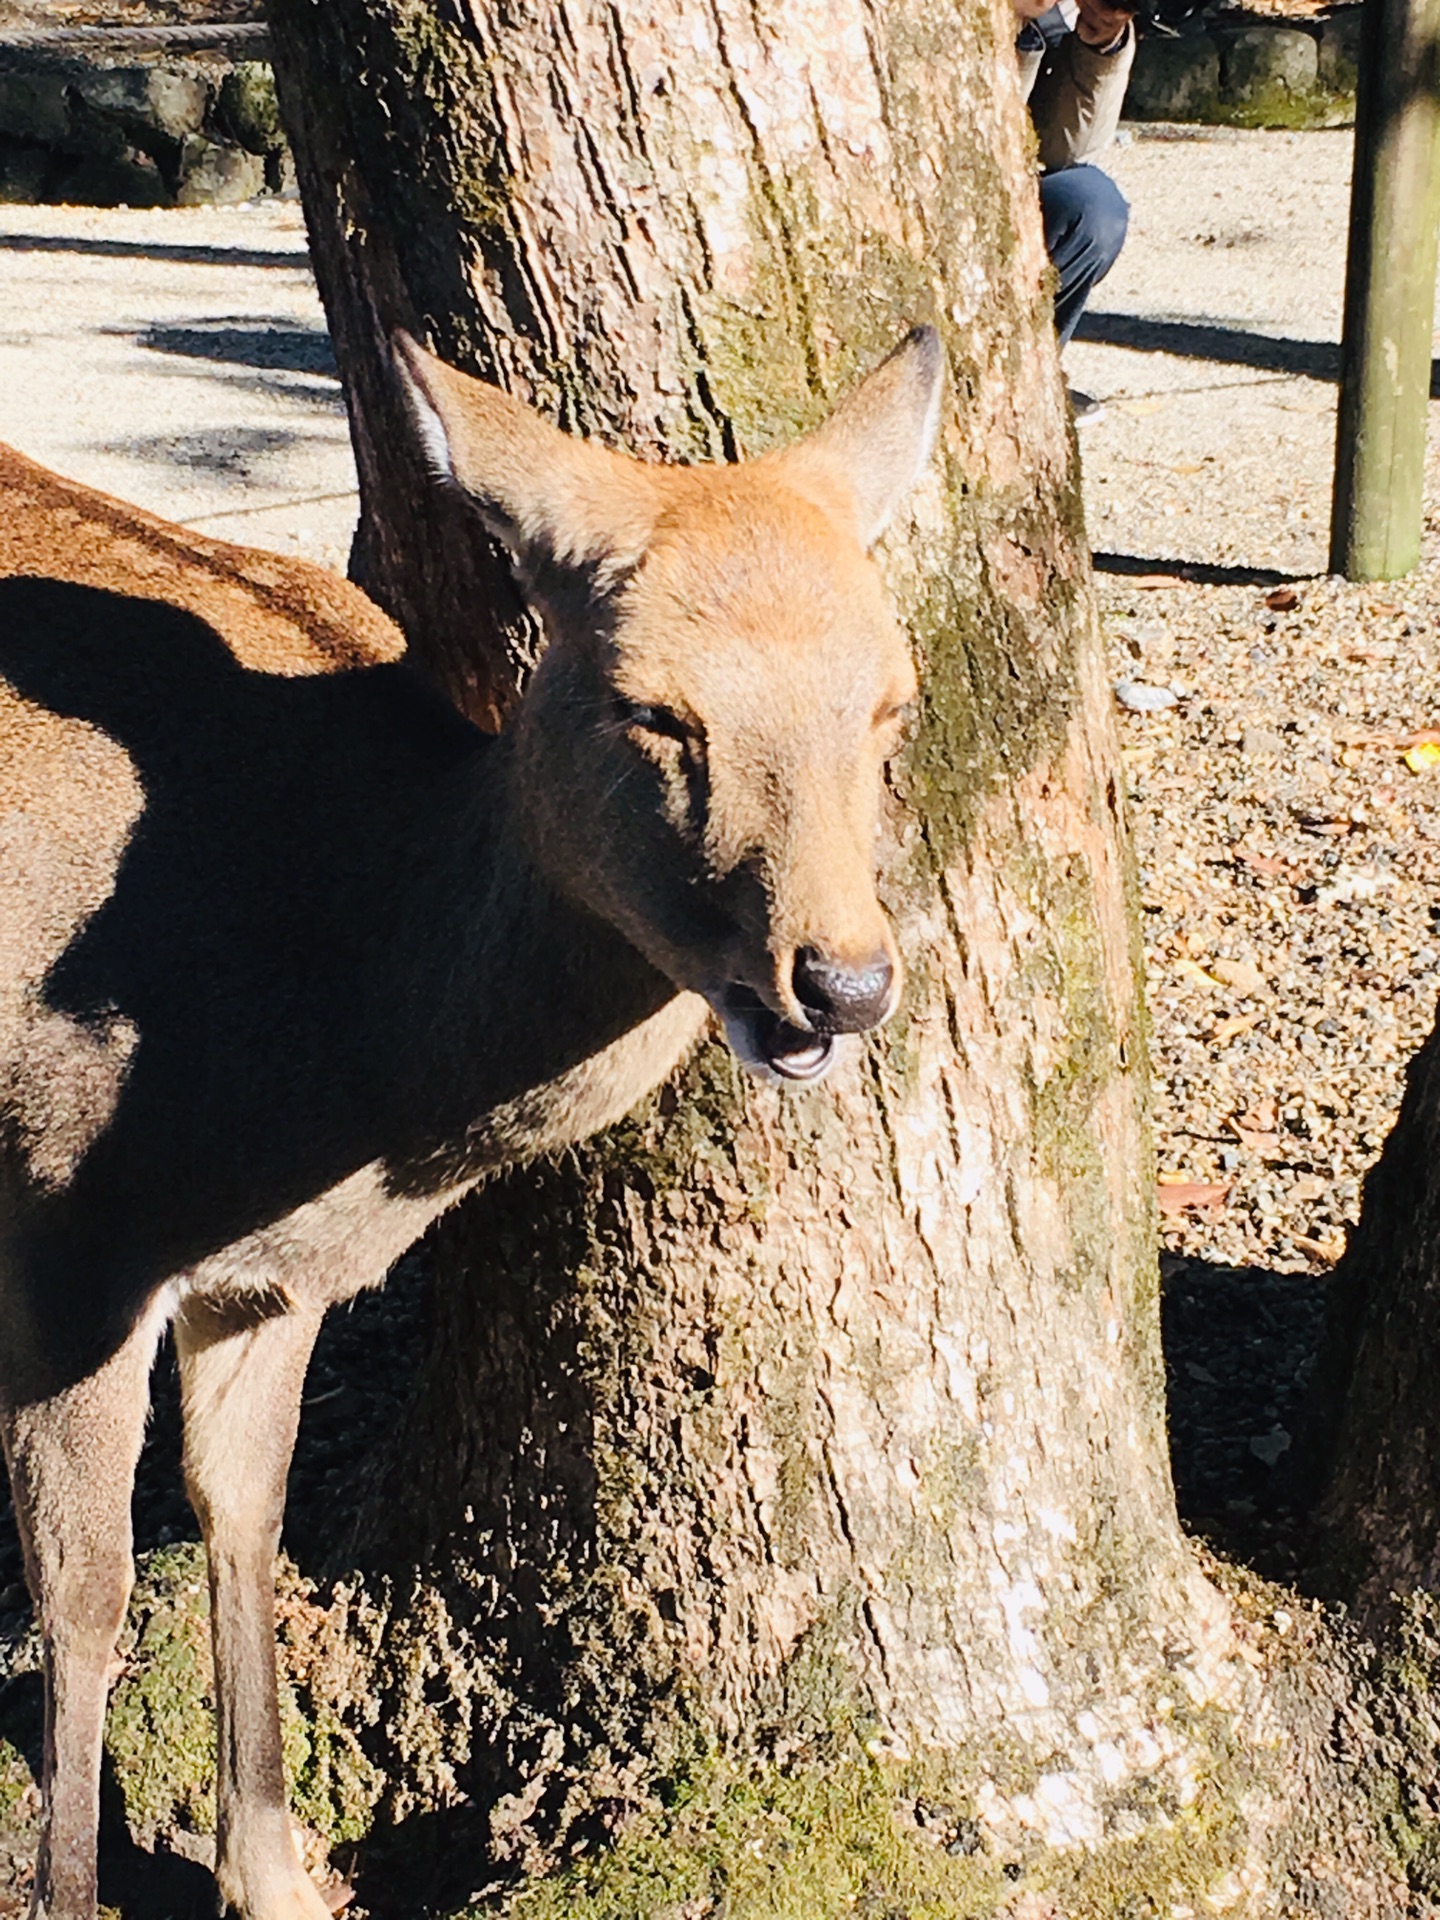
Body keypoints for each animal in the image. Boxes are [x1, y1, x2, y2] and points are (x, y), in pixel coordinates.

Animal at [0, 322, 948, 1912]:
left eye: (892, 704)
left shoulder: (273, 1278)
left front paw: (275, 1875)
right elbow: (85, 1592)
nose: (841, 980)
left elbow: (240, 1510)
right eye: (653, 708)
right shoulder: (65, 1228)